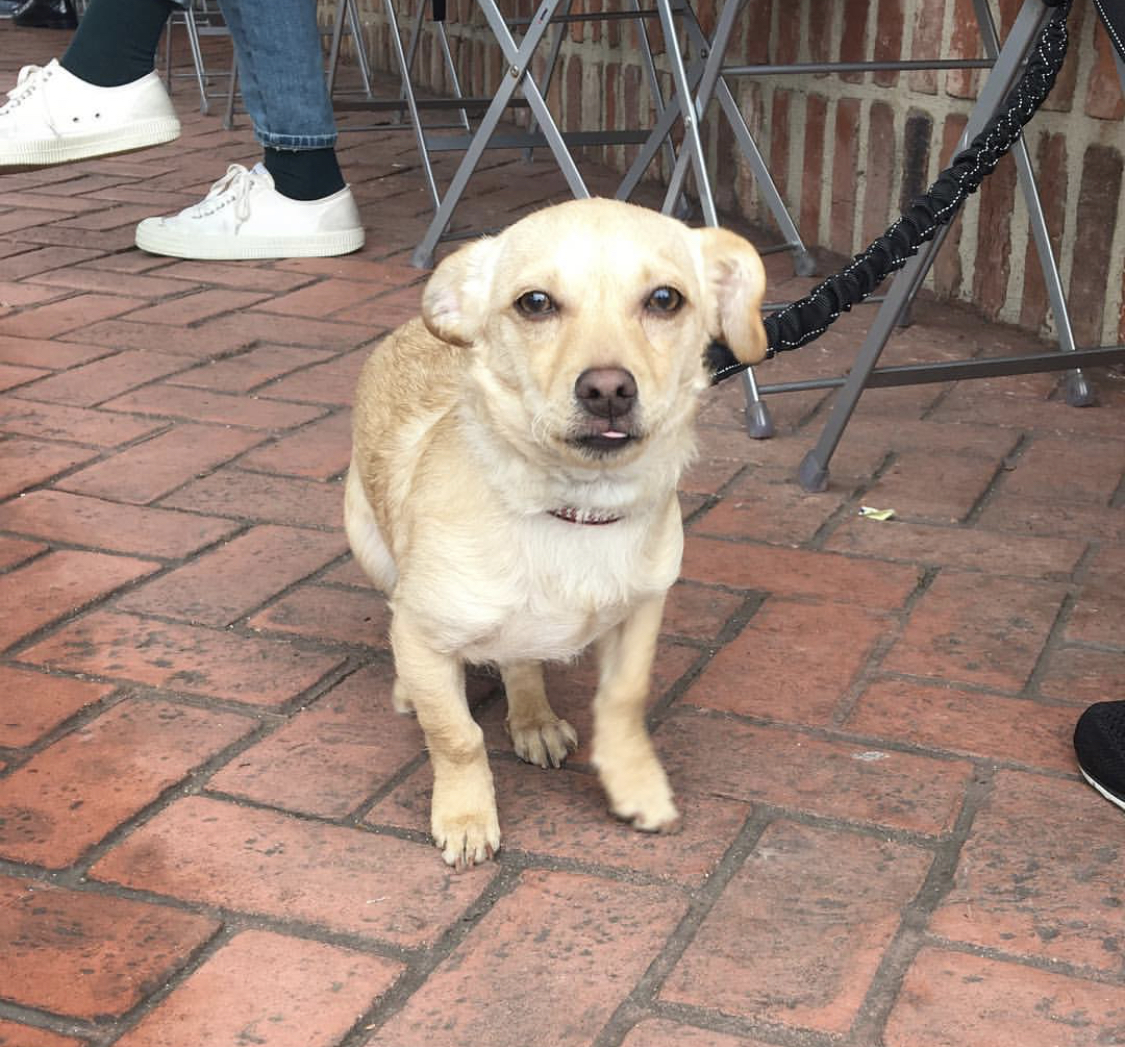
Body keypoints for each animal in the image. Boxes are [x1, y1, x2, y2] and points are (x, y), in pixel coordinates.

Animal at [342, 199, 765, 868]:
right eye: (535, 303)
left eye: (665, 299)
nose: (608, 390)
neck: (576, 511)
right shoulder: (421, 631)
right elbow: (456, 735)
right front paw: (466, 817)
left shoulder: (641, 613)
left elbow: (622, 701)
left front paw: (635, 785)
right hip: (369, 543)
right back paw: (414, 691)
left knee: (521, 658)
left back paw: (533, 719)